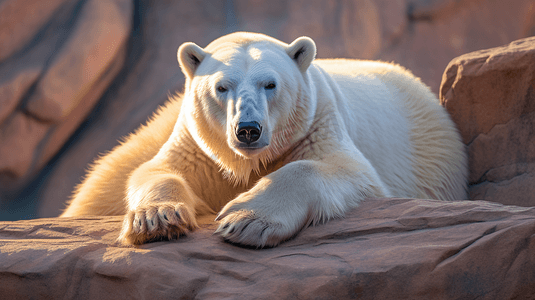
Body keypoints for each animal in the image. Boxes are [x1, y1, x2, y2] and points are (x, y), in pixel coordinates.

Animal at [60, 31, 466, 247]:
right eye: (221, 87)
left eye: (270, 84)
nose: (248, 129)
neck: (246, 160)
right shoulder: (199, 147)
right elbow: (158, 169)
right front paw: (158, 220)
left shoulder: (316, 127)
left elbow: (343, 170)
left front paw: (244, 220)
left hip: (429, 154)